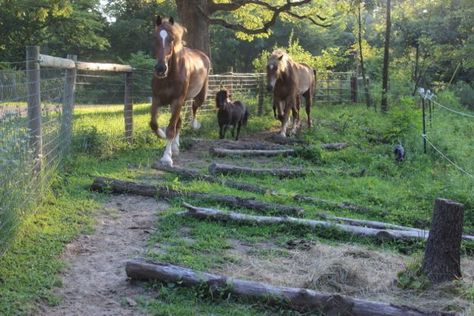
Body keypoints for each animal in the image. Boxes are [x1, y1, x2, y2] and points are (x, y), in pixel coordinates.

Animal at [151, 16, 210, 167]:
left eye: (172, 39)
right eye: (155, 37)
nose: (161, 68)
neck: (170, 75)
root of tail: (202, 55)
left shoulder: (177, 100)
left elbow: (171, 129)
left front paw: (166, 158)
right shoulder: (157, 98)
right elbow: (154, 124)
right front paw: (162, 135)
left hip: (198, 96)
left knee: (194, 108)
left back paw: (194, 125)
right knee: (179, 122)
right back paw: (175, 147)